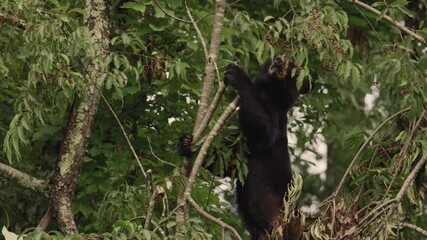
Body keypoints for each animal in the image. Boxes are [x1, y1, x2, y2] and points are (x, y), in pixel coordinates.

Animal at [226, 55, 312, 239]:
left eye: (293, 66)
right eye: (278, 56)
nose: (279, 59)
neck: (270, 92)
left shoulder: (274, 116)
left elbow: (265, 133)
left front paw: (236, 73)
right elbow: (229, 162)